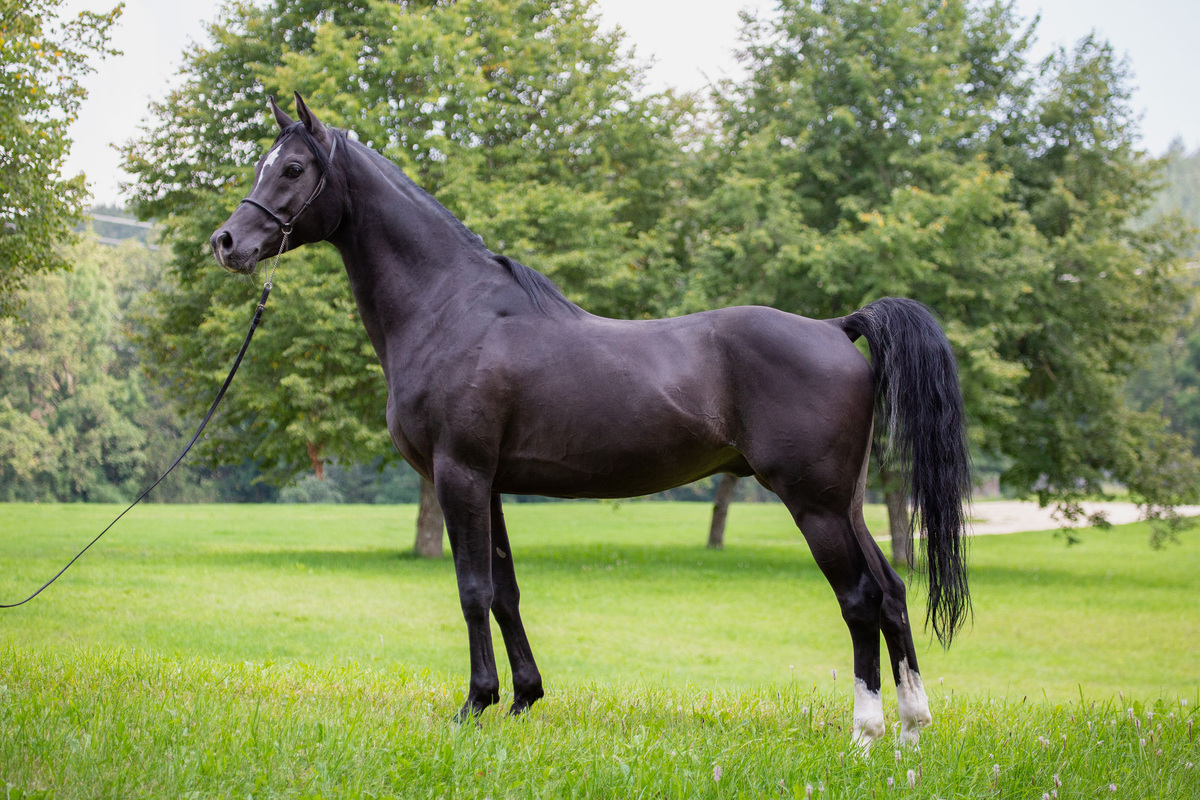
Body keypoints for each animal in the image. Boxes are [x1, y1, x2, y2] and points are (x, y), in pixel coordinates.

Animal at [210, 93, 971, 749]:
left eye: (293, 168)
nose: (226, 242)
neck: (452, 308)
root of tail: (836, 327)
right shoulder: (488, 483)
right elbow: (506, 591)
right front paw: (523, 698)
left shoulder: (460, 474)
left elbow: (472, 590)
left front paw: (474, 705)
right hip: (846, 502)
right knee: (893, 592)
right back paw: (911, 728)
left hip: (813, 503)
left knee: (860, 598)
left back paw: (865, 733)